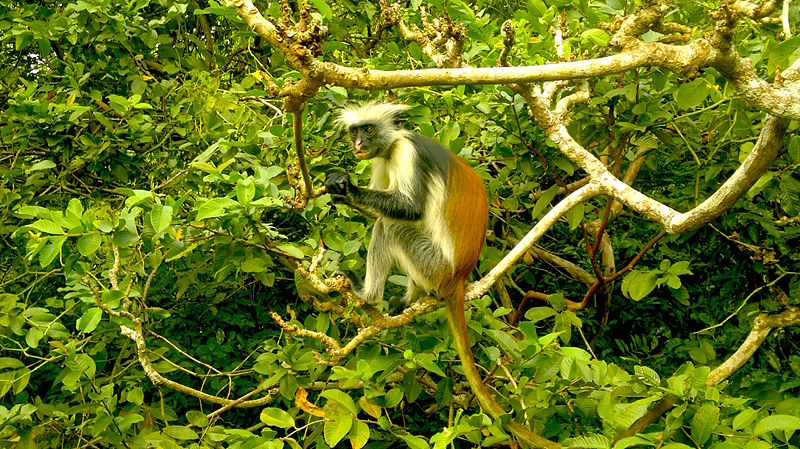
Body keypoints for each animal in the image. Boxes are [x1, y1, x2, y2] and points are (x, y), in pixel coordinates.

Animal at [322, 102, 504, 420]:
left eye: (368, 129)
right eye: (355, 131)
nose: (359, 144)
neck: (392, 144)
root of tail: (459, 277)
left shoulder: (406, 152)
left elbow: (409, 209)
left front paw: (348, 189)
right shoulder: (381, 160)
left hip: (433, 264)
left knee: (389, 226)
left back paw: (368, 296)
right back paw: (410, 298)